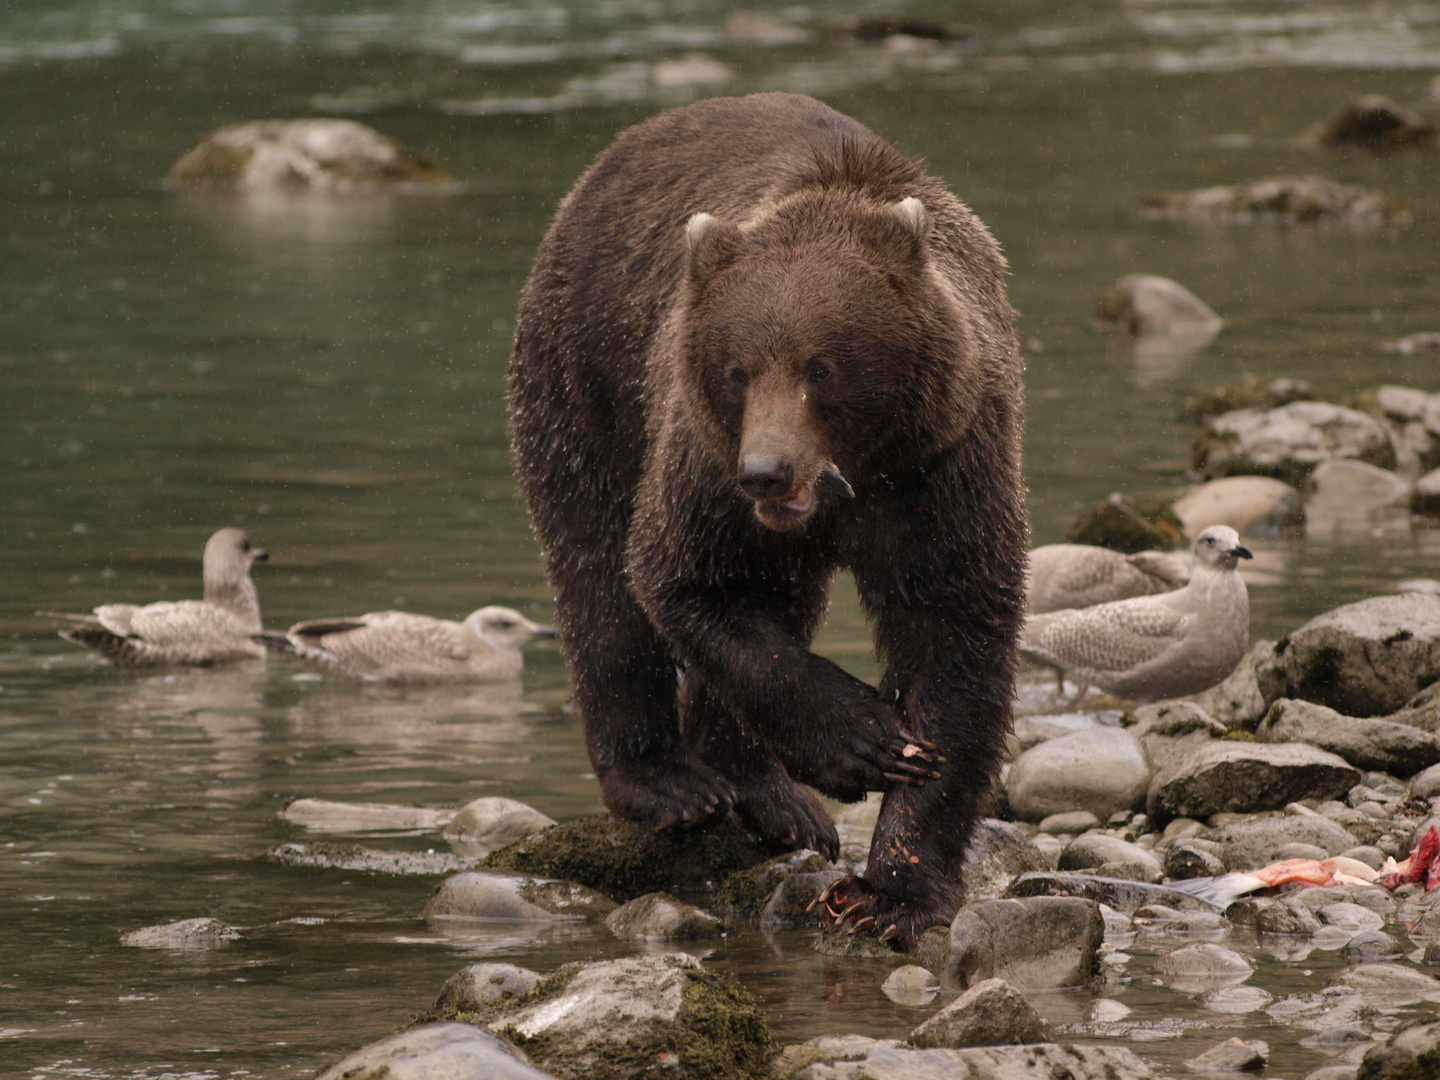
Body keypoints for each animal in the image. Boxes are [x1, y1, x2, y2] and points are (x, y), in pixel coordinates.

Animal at [506, 95, 1025, 956]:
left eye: (824, 366)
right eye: (738, 368)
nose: (767, 471)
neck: (858, 476)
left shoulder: (945, 464)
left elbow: (955, 628)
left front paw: (892, 889)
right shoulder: (704, 460)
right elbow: (686, 582)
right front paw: (864, 743)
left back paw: (776, 804)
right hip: (582, 378)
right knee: (600, 582)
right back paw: (676, 783)